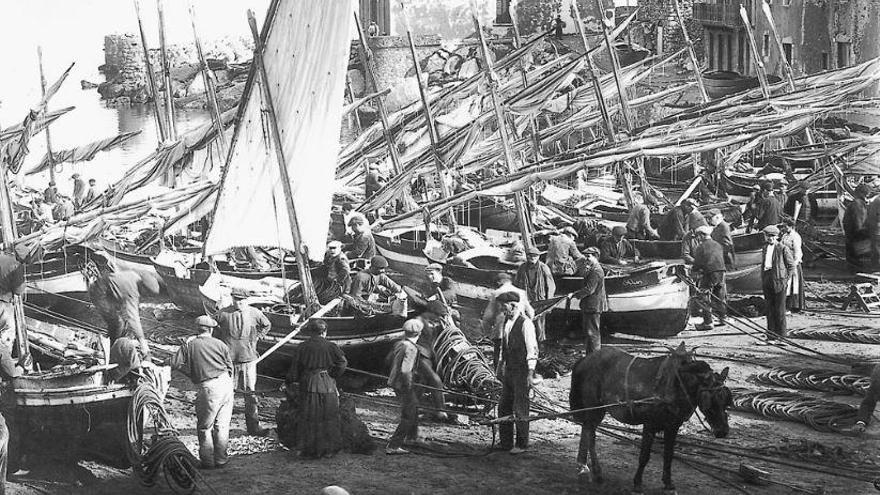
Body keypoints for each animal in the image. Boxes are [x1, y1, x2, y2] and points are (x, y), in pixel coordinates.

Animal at [568, 344, 732, 495]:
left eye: (726, 400)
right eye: (711, 400)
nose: (723, 431)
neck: (676, 384)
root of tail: (585, 359)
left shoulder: (673, 426)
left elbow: (669, 455)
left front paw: (668, 483)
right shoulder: (650, 424)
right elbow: (644, 456)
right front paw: (637, 483)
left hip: (597, 409)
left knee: (587, 430)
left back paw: (584, 467)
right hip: (594, 408)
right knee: (590, 434)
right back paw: (596, 472)